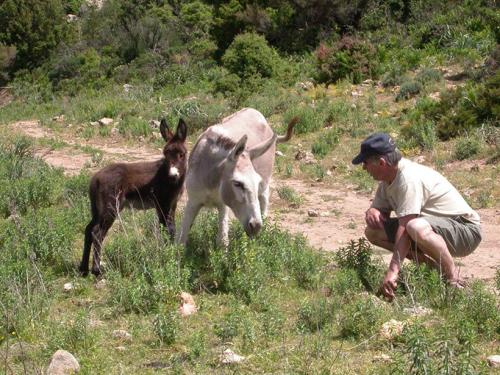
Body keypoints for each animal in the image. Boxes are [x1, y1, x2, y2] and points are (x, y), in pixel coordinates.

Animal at [79, 119, 188, 278]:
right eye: (165, 154)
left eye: (181, 154)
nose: (173, 175)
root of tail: (95, 179)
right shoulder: (162, 204)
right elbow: (167, 229)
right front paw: (167, 256)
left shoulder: (172, 205)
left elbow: (171, 228)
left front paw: (170, 253)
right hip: (111, 208)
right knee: (97, 233)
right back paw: (97, 271)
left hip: (98, 209)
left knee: (88, 230)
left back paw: (84, 270)